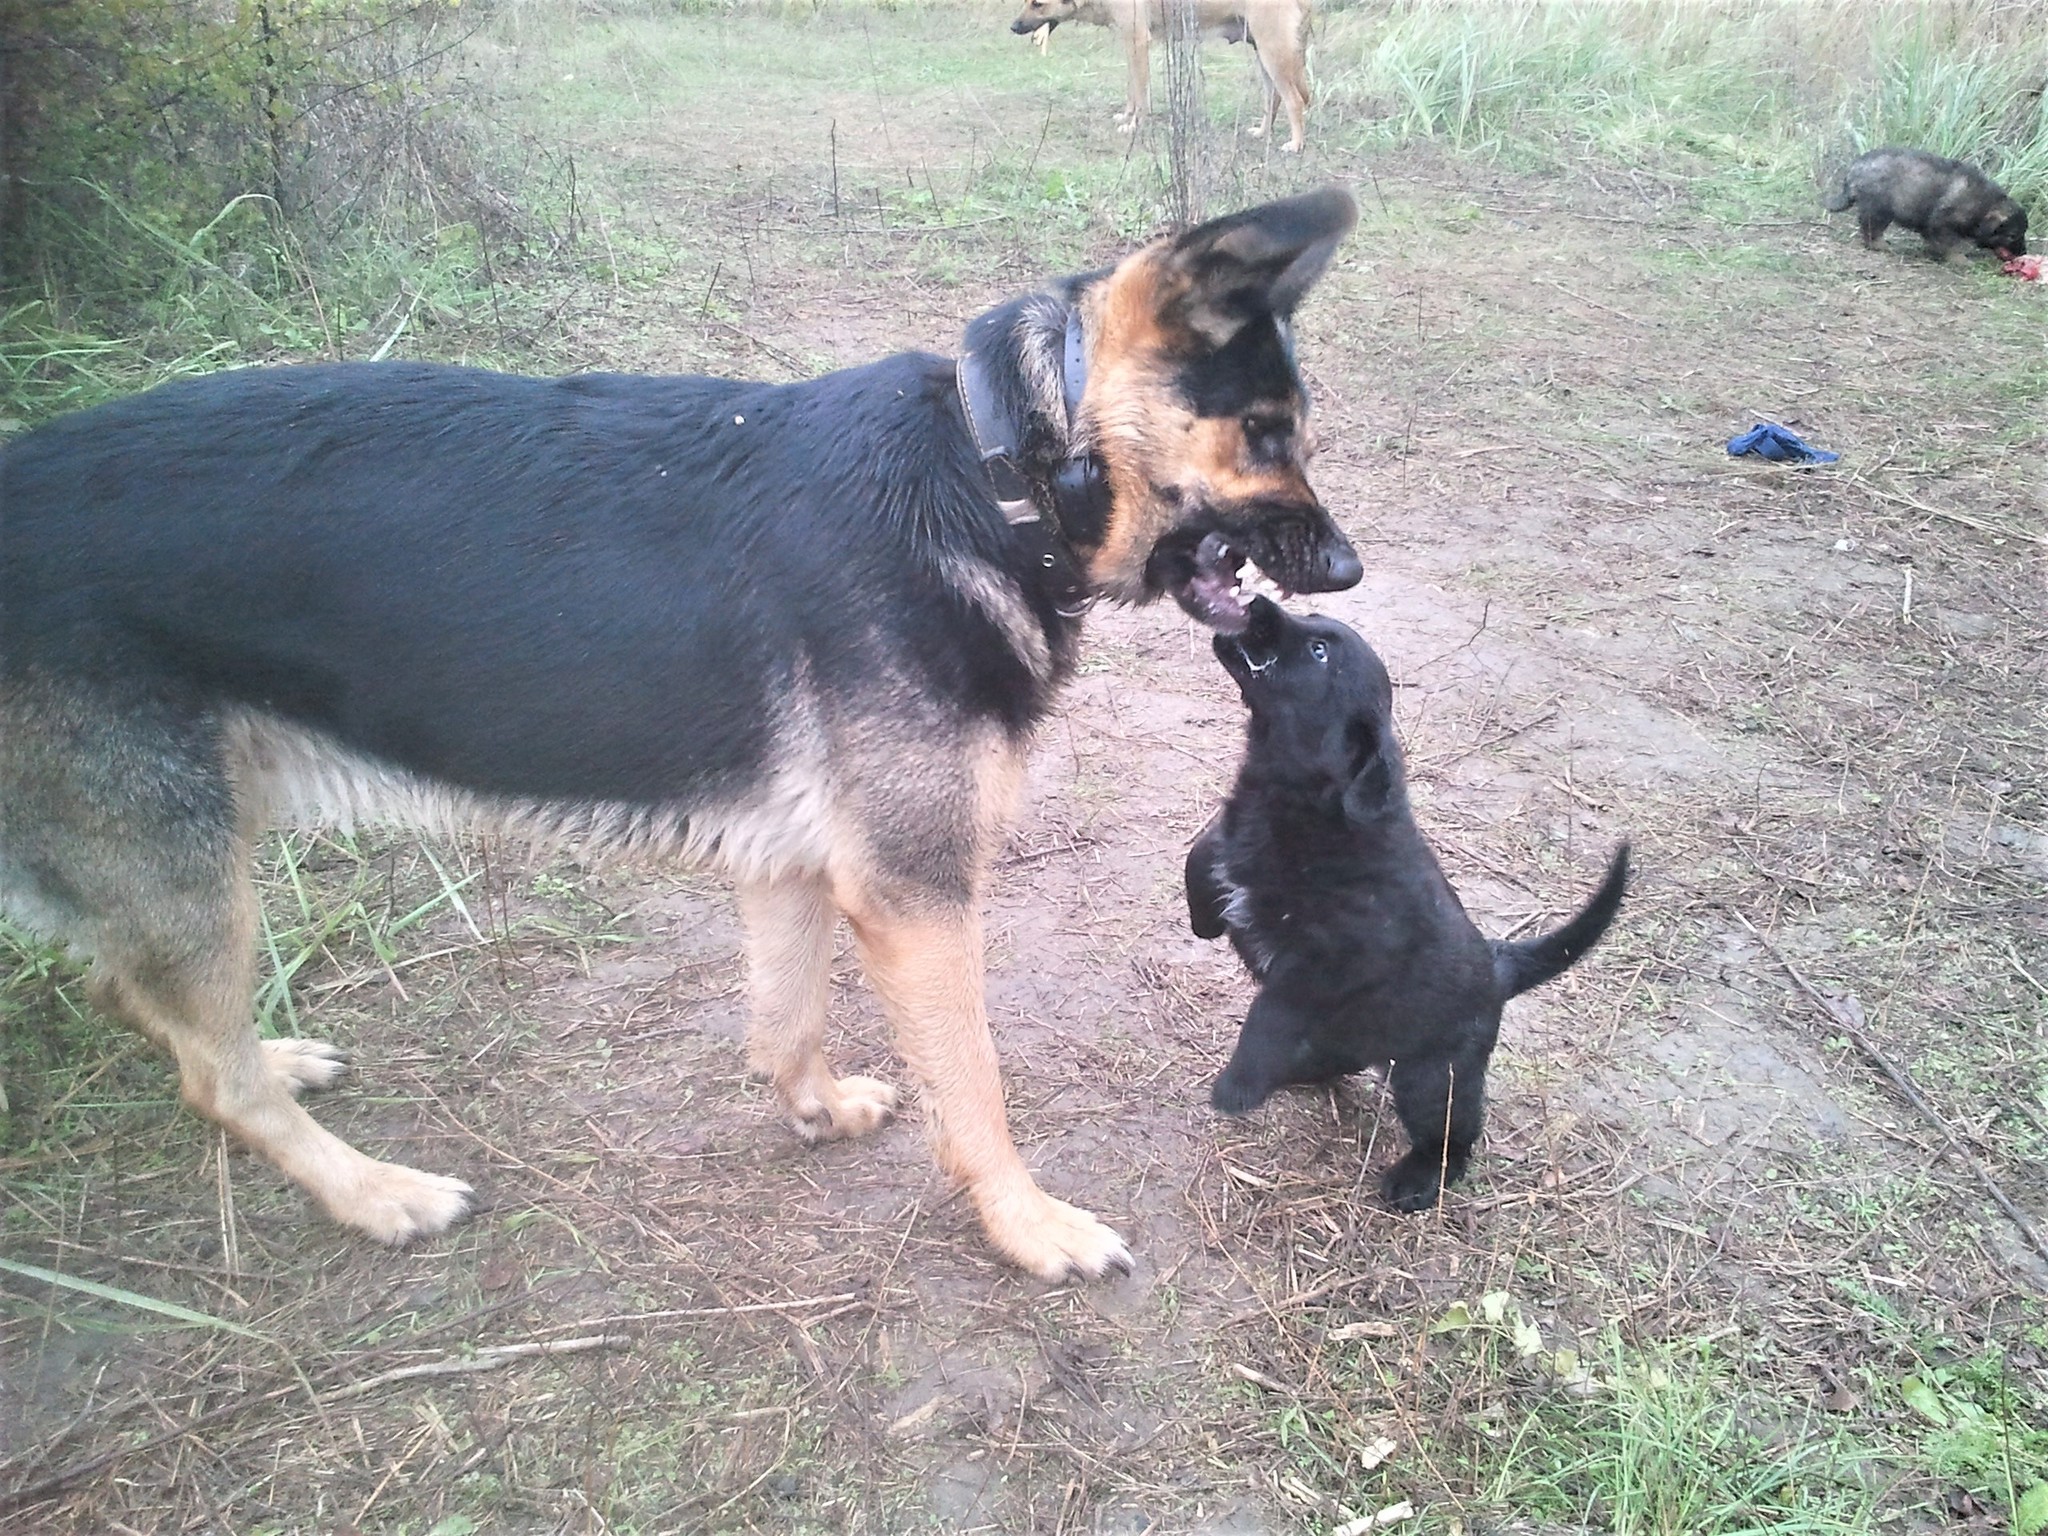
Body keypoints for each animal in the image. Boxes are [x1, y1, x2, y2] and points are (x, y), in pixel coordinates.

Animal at [8, 186, 1368, 1277]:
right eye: (1265, 434)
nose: (1348, 573)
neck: (994, 477)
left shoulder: (794, 867)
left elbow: (786, 1019)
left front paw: (814, 1111)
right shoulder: (918, 899)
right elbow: (974, 1088)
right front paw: (1027, 1227)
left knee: (159, 1008)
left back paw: (282, 1060)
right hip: (190, 868)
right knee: (210, 1071)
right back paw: (377, 1193)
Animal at [1015, 0, 1318, 154]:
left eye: (1038, 4)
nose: (1013, 27)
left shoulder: (1138, 43)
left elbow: (1141, 95)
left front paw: (1134, 125)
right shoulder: (1130, 44)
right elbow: (1132, 90)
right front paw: (1126, 117)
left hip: (1272, 53)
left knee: (1294, 100)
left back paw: (1296, 144)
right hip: (1263, 55)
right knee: (1273, 98)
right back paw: (1262, 132)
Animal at [1187, 602, 1630, 1212]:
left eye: (1319, 652)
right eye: (1312, 619)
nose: (1257, 604)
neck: (1304, 806)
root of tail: (1499, 967)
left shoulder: (1324, 969)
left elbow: (1268, 1015)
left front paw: (1237, 1087)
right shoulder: (1230, 841)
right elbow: (1200, 856)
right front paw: (1204, 920)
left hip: (1432, 1079)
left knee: (1455, 1136)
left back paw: (1418, 1179)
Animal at [1826, 145, 2031, 264]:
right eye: (2012, 236)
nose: (2023, 253)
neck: (1985, 205)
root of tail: (1854, 169)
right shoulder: (1944, 223)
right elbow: (1949, 244)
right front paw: (1959, 259)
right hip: (1879, 208)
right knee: (1871, 228)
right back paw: (1881, 245)